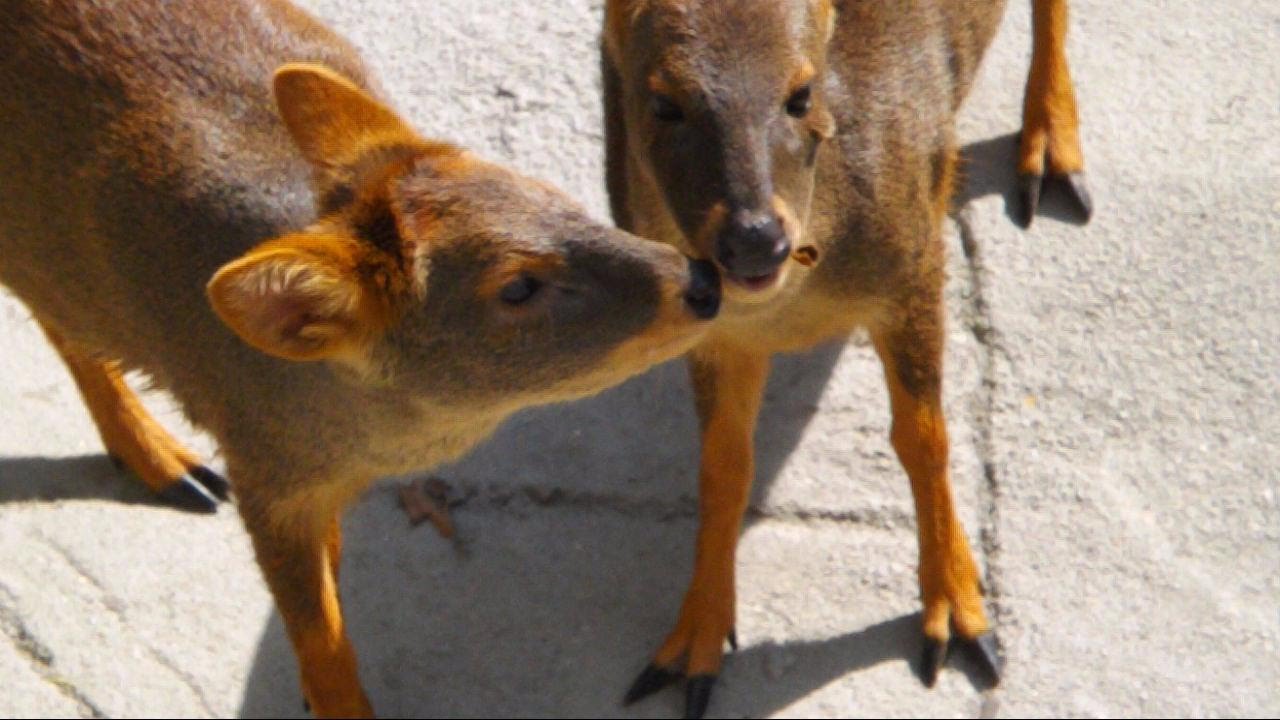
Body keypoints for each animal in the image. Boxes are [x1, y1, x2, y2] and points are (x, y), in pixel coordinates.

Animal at [0, 0, 721, 712]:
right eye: (517, 286)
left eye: (555, 196)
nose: (704, 280)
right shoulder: (265, 477)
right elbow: (316, 630)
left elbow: (332, 582)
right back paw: (165, 462)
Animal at [599, 0, 1090, 712]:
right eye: (663, 102)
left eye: (801, 93)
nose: (756, 239)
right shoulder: (716, 334)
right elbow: (723, 467)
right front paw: (694, 648)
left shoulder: (914, 258)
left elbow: (923, 436)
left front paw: (959, 616)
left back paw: (1050, 155)